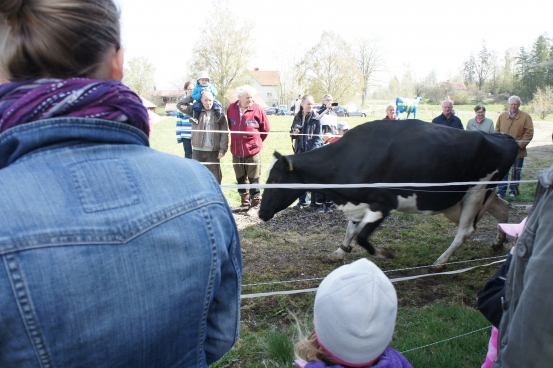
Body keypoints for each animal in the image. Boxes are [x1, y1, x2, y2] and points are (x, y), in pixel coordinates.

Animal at [258, 121, 516, 268]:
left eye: (276, 180)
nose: (261, 213)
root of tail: (504, 136)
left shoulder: (383, 203)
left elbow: (362, 237)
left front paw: (384, 253)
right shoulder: (357, 202)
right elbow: (350, 231)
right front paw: (338, 253)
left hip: (476, 191)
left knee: (466, 231)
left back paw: (440, 262)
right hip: (477, 197)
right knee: (503, 209)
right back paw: (500, 242)